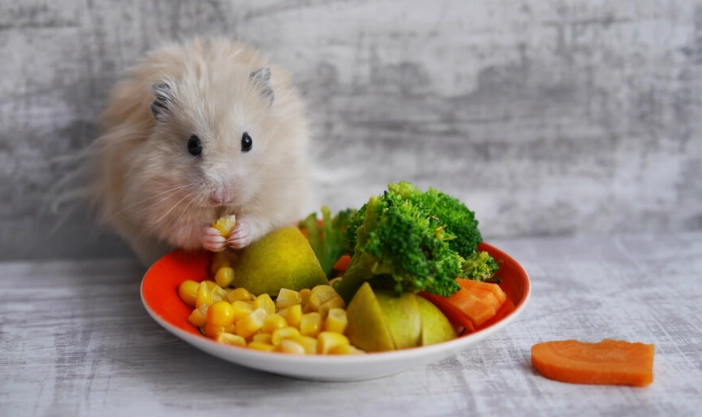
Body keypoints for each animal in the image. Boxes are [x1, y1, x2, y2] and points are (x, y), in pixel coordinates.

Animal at [89, 37, 312, 267]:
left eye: (247, 141)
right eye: (193, 145)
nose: (223, 196)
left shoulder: (280, 192)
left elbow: (260, 219)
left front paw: (238, 234)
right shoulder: (157, 205)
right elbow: (188, 229)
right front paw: (214, 238)